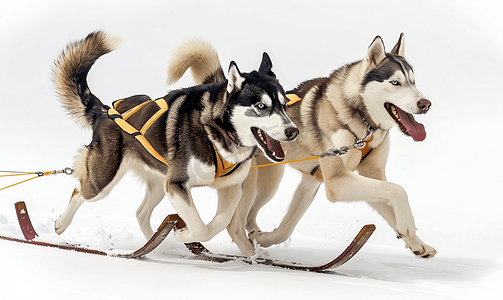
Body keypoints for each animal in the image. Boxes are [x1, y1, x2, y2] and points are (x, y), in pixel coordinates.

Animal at [52, 31, 298, 245]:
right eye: (261, 106)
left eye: (284, 104)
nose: (293, 131)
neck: (216, 131)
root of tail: (104, 112)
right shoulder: (177, 184)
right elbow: (200, 227)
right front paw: (183, 234)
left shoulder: (231, 187)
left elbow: (219, 222)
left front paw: (182, 235)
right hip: (104, 180)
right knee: (79, 192)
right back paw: (61, 223)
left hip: (158, 183)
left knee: (141, 213)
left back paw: (157, 244)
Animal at [175, 32, 440, 258]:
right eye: (395, 83)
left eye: (413, 82)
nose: (425, 103)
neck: (361, 120)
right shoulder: (337, 182)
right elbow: (398, 190)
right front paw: (408, 226)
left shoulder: (324, 179)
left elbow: (288, 226)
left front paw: (415, 241)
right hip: (250, 185)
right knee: (233, 224)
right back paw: (251, 252)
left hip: (269, 184)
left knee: (247, 219)